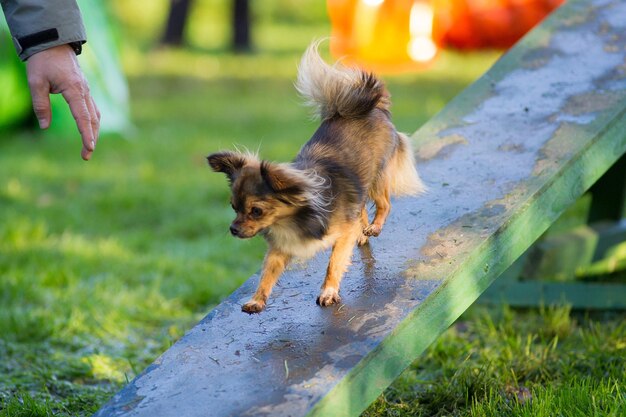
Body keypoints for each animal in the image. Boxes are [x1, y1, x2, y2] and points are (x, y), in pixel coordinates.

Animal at [207, 41, 422, 312]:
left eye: (256, 211)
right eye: (233, 207)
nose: (233, 229)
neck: (291, 220)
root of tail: (372, 108)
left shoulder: (341, 234)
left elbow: (334, 263)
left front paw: (328, 292)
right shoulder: (281, 247)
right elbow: (268, 273)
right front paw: (257, 300)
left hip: (377, 177)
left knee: (385, 204)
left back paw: (374, 227)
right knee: (362, 208)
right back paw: (363, 233)